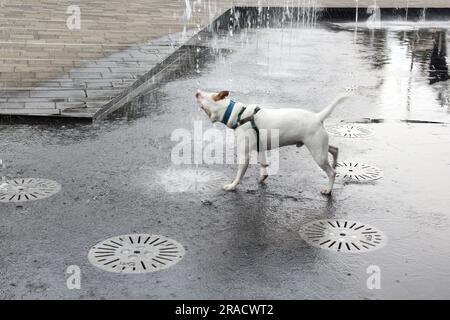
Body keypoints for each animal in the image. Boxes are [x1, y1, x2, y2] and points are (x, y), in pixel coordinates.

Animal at [194, 90, 348, 195]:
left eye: (207, 95)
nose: (197, 92)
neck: (239, 115)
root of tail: (317, 117)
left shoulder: (245, 155)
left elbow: (239, 174)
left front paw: (232, 186)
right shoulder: (260, 147)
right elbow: (263, 164)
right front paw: (263, 177)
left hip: (317, 152)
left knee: (331, 172)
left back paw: (328, 189)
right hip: (320, 147)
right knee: (334, 149)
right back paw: (335, 162)